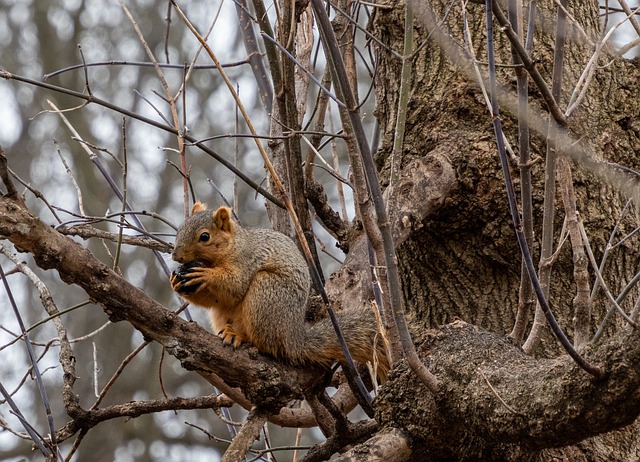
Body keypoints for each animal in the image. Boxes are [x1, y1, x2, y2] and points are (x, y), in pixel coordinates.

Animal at [171, 201, 390, 378]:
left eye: (204, 236)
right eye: (180, 229)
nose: (175, 256)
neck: (231, 246)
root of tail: (294, 338)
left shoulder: (246, 261)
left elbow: (235, 286)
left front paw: (206, 275)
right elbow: (215, 299)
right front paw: (176, 282)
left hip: (265, 295)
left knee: (265, 344)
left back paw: (240, 336)